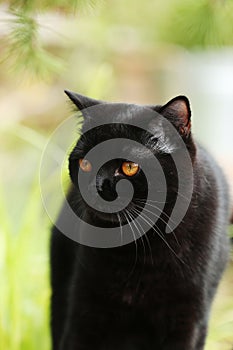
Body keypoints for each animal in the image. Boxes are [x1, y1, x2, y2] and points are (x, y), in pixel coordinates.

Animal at [49, 91, 231, 348]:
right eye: (85, 163)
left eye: (129, 166)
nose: (96, 187)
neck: (142, 251)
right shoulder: (84, 310)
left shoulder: (187, 320)